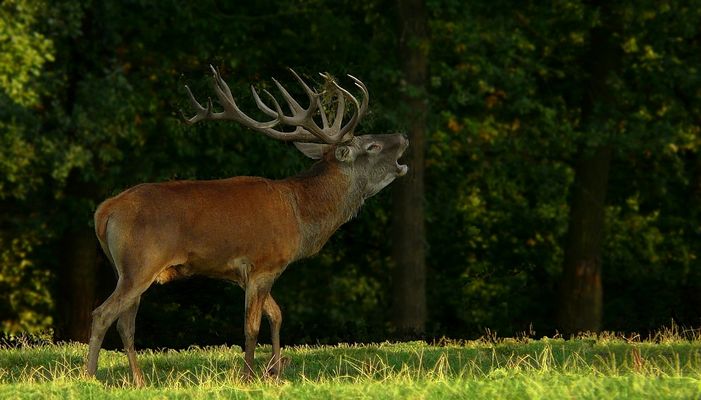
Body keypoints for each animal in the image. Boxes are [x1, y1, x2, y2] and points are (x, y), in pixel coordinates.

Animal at [83, 66, 409, 386]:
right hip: (141, 263)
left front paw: (275, 371)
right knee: (102, 313)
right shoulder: (264, 263)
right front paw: (248, 376)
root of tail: (104, 210)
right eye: (372, 145)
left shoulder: (244, 273)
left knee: (126, 322)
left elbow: (276, 314)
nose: (403, 136)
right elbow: (251, 327)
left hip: (127, 269)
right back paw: (90, 376)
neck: (300, 215)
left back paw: (138, 380)